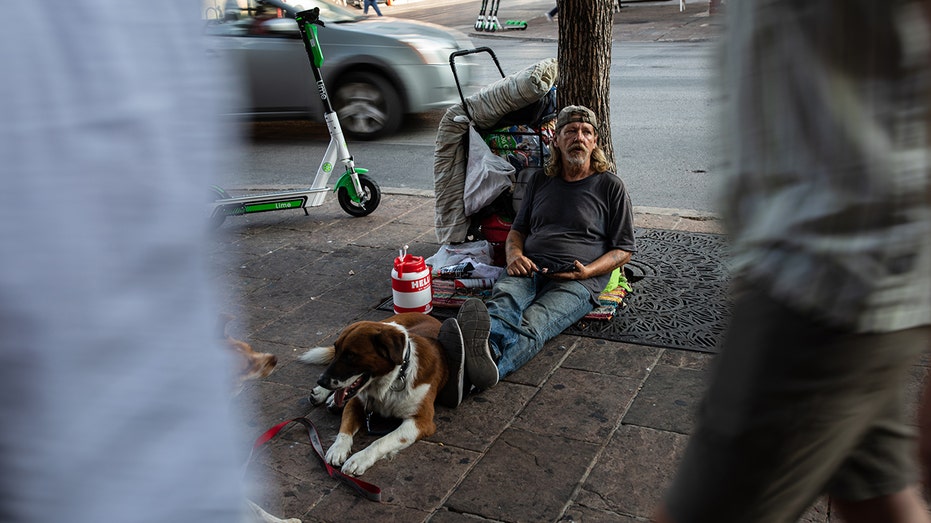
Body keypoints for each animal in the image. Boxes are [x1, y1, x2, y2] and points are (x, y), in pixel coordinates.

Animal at [300, 314, 450, 476]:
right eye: (336, 350)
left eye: (350, 355)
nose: (321, 381)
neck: (392, 380)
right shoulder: (355, 402)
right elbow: (344, 429)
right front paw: (337, 449)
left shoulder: (420, 422)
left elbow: (382, 440)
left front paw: (359, 459)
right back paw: (324, 396)